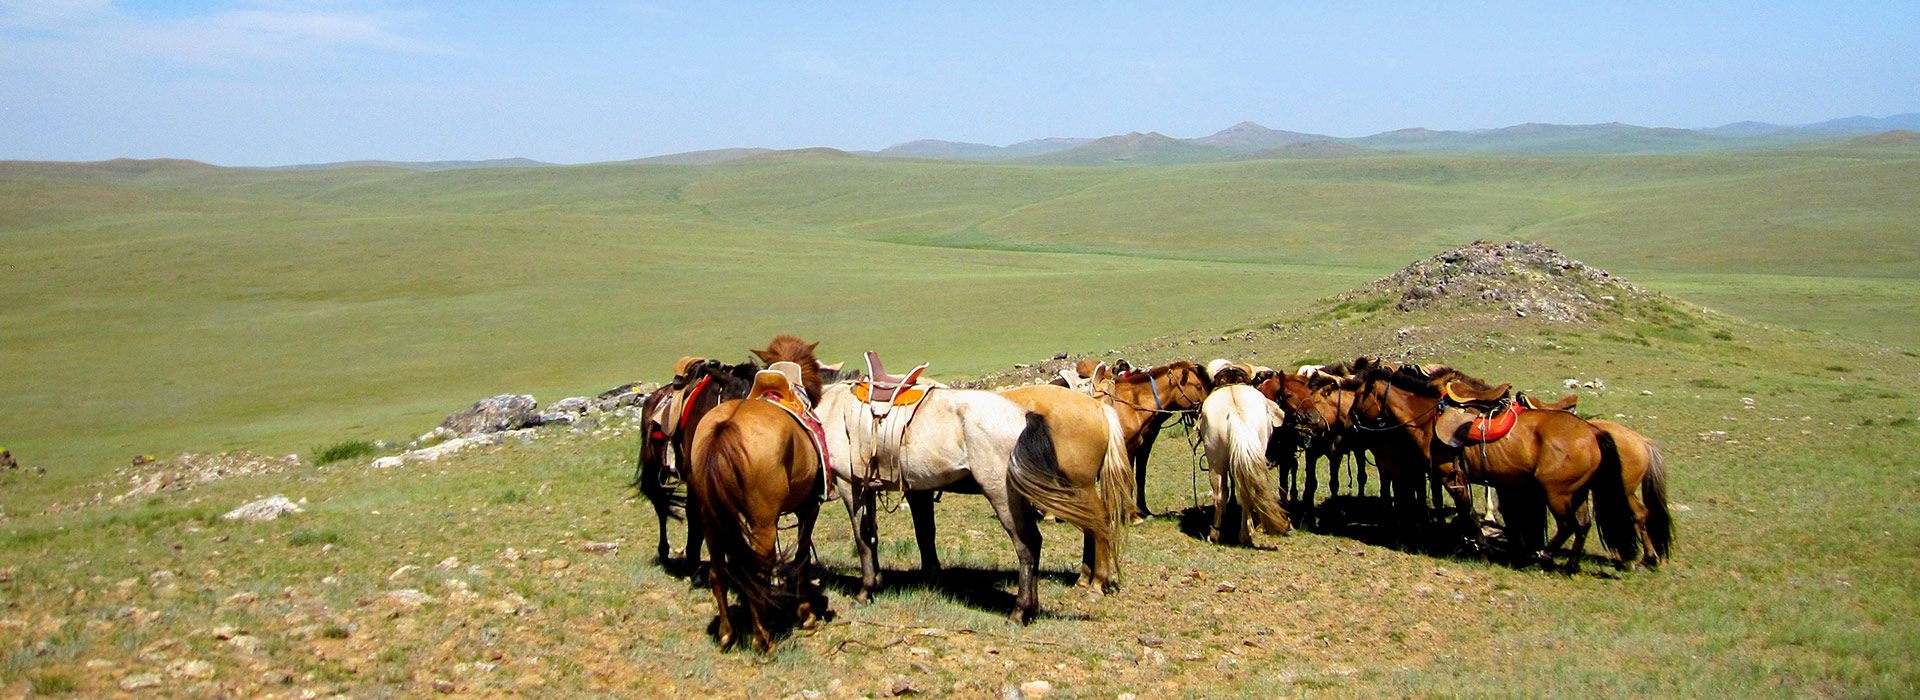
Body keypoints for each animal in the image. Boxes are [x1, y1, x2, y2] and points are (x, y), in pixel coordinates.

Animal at [695, 368, 829, 652]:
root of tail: (725, 427)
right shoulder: (808, 508)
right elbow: (802, 557)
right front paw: (806, 615)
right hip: (763, 522)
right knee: (755, 572)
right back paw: (763, 640)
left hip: (712, 519)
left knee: (718, 572)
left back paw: (727, 635)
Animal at [817, 381, 1121, 621]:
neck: (831, 407)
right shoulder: (897, 489)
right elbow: (910, 534)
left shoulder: (851, 484)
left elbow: (863, 537)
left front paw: (866, 590)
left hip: (1022, 492)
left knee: (1041, 540)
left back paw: (1032, 607)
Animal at [1098, 360, 1213, 513]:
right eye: (1198, 386)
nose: (1207, 409)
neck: (1131, 405)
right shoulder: (1127, 449)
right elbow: (1125, 481)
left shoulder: (1140, 447)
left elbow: (1138, 477)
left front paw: (1141, 510)